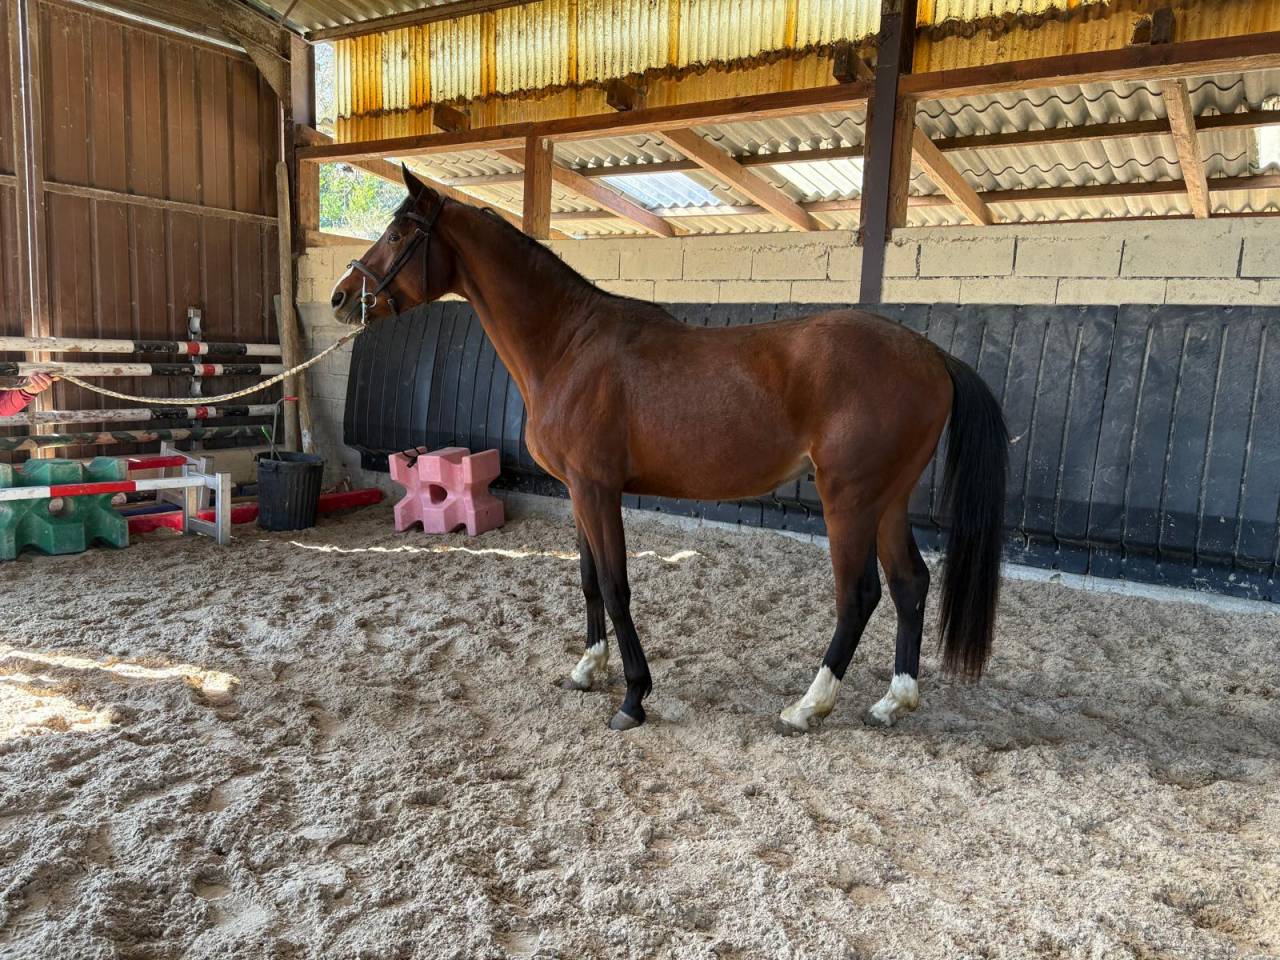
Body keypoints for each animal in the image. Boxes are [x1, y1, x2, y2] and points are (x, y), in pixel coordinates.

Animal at [330, 164, 1008, 735]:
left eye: (397, 233)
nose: (340, 298)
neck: (568, 346)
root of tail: (930, 354)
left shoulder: (598, 489)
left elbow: (615, 583)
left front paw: (633, 696)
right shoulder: (578, 492)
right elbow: (588, 580)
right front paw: (588, 669)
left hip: (850, 499)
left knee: (860, 594)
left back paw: (808, 705)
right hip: (888, 499)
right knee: (910, 584)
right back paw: (894, 700)